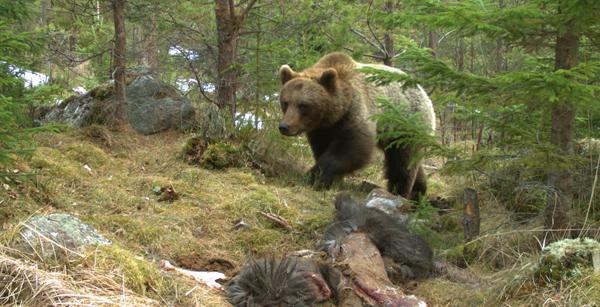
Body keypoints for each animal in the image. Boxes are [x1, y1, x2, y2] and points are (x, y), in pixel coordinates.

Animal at [276, 52, 436, 200]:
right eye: (285, 102)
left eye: (303, 105)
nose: (284, 126)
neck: (334, 114)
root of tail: (424, 92)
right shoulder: (323, 129)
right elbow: (321, 148)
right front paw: (328, 179)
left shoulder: (356, 111)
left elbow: (353, 148)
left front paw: (314, 176)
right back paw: (419, 191)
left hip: (406, 122)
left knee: (403, 160)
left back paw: (399, 191)